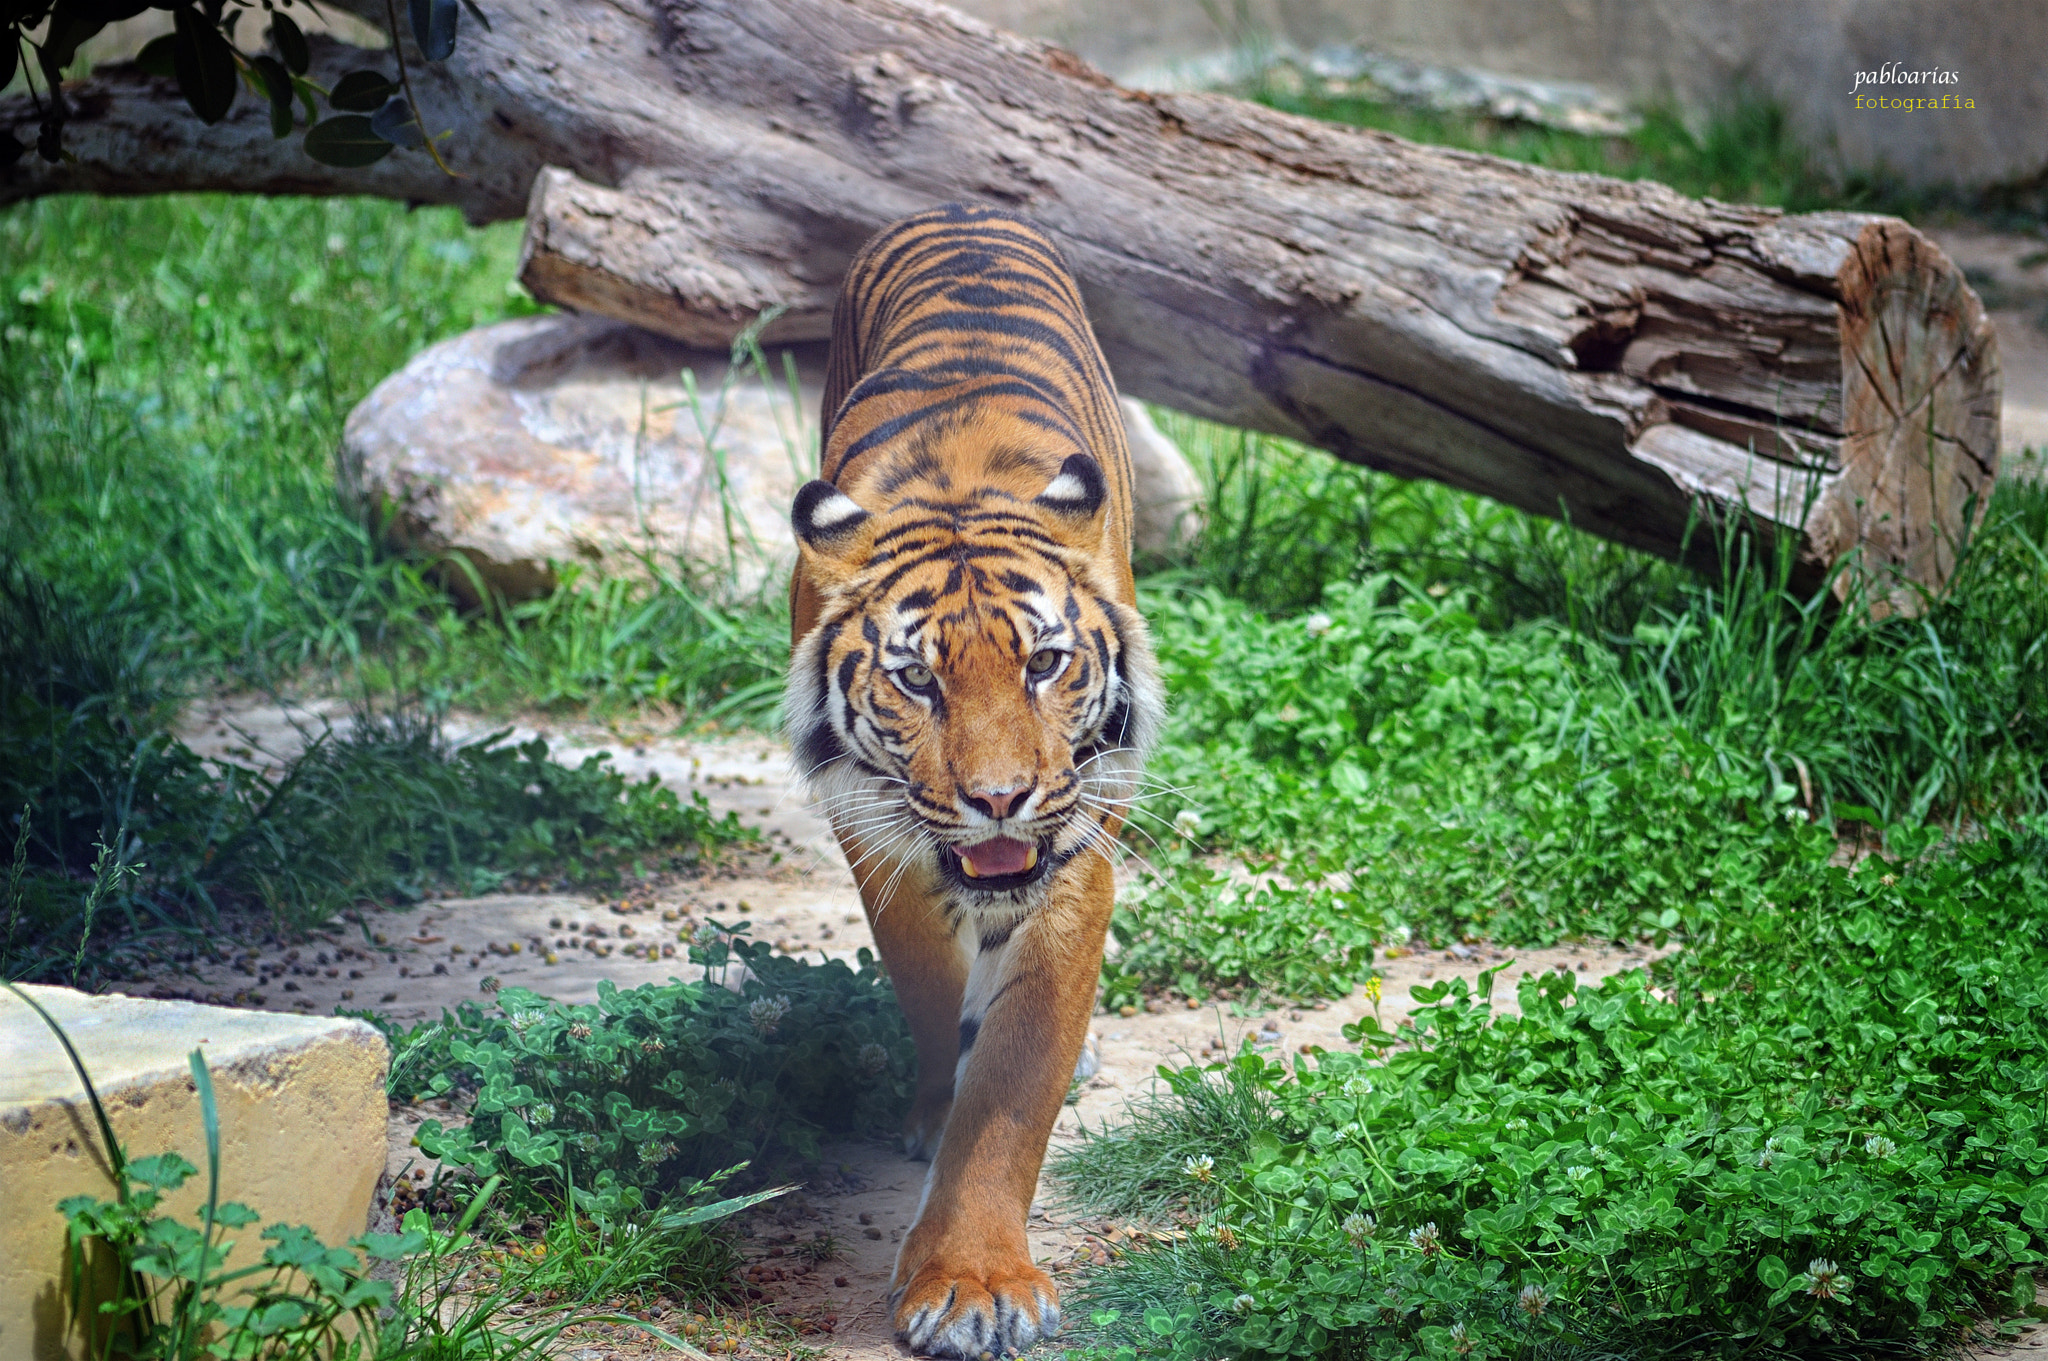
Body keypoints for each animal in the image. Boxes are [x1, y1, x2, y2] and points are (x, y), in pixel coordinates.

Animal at [786, 203, 1163, 1357]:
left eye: (1044, 662)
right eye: (917, 678)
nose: (999, 798)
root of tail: (957, 208)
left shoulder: (1075, 851)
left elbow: (1011, 1078)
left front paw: (975, 1281)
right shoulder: (876, 834)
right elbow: (927, 984)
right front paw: (930, 1108)